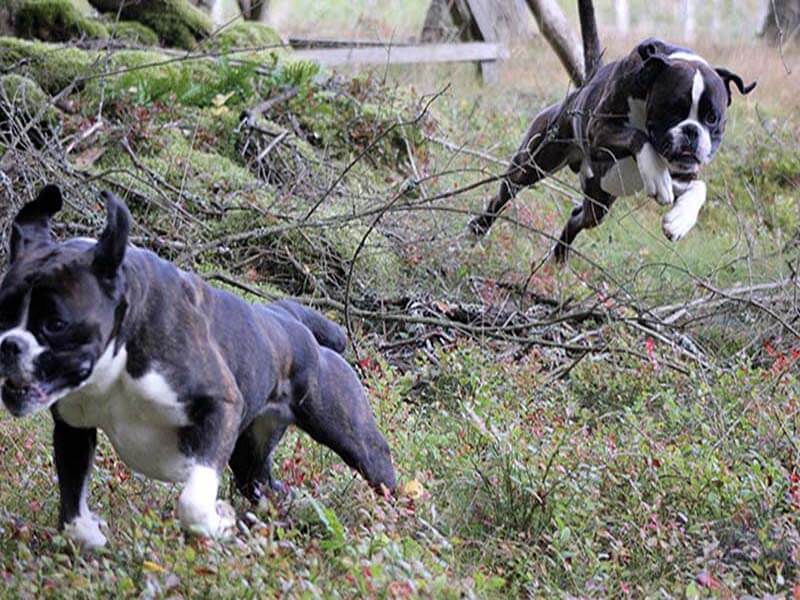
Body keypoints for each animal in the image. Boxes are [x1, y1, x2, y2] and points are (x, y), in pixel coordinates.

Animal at [0, 184, 396, 548]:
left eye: (56, 324)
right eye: (2, 309)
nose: (8, 344)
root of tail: (289, 318)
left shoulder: (219, 407)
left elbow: (192, 501)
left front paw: (218, 522)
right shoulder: (73, 429)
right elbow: (72, 510)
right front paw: (89, 533)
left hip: (352, 438)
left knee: (379, 470)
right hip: (252, 458)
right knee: (266, 487)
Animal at [466, 37, 752, 260]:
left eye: (712, 118)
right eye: (673, 110)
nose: (692, 130)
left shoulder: (682, 173)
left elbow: (699, 187)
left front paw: (679, 221)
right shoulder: (600, 129)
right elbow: (639, 136)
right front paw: (655, 173)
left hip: (599, 202)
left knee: (578, 217)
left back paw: (558, 259)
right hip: (532, 164)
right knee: (503, 195)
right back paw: (477, 229)